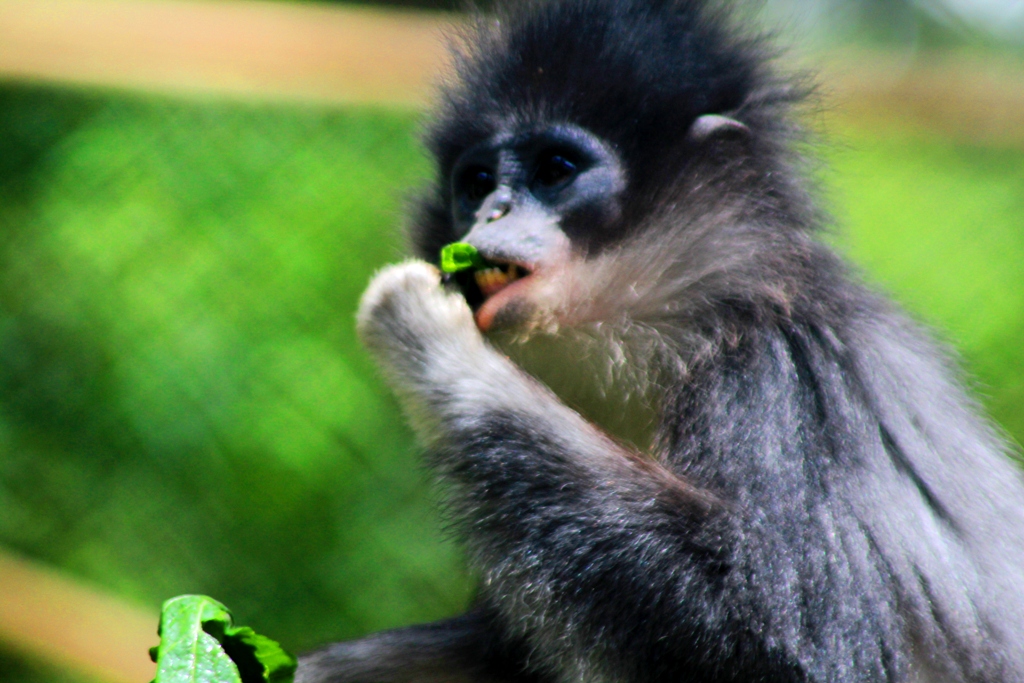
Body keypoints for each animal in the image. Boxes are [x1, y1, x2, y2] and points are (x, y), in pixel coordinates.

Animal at [294, 1, 1024, 683]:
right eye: (476, 183)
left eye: (555, 169)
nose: (491, 212)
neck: (688, 326)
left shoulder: (783, 375)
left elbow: (798, 645)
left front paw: (428, 337)